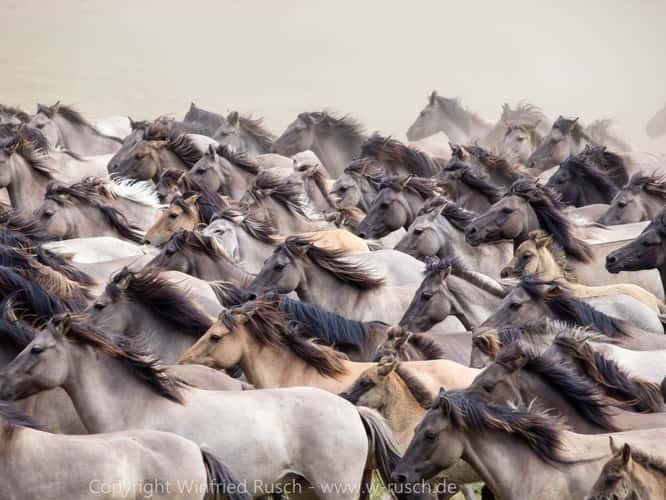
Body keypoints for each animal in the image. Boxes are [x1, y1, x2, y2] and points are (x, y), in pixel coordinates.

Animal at [0, 313, 401, 500]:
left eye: (36, 349)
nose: (3, 383)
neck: (140, 406)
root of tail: (353, 411)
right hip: (305, 489)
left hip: (334, 488)